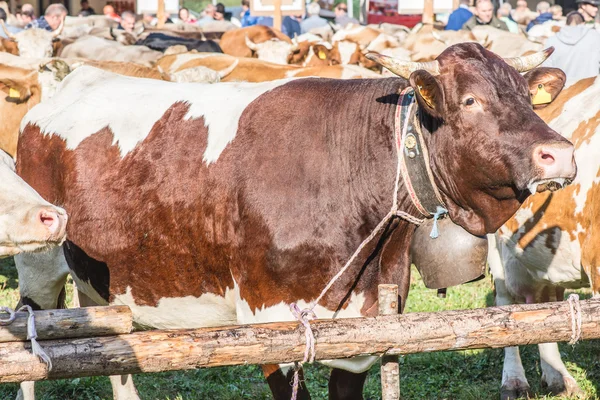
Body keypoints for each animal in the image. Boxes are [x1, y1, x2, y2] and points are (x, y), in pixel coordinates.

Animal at [16, 43, 576, 400]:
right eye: (470, 100)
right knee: (27, 331)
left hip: (100, 281)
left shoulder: (366, 326)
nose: (561, 154)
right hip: (37, 260)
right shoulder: (268, 321)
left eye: (525, 97)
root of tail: (78, 76)